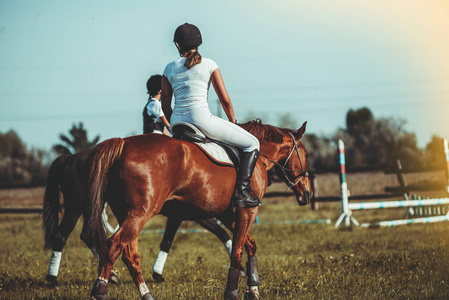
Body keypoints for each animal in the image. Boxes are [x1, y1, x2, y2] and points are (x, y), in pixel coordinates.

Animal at [85, 119, 312, 300]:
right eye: (307, 155)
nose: (308, 193)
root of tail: (123, 144)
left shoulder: (228, 214)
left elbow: (250, 245)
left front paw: (253, 287)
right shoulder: (247, 211)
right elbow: (238, 251)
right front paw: (233, 292)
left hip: (128, 215)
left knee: (130, 256)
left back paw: (147, 294)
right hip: (139, 215)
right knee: (113, 246)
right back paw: (100, 291)